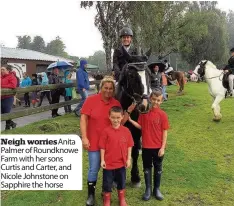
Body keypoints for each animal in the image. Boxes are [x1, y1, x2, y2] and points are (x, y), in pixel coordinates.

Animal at [115, 51, 152, 187]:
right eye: (131, 75)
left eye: (148, 73)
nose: (144, 105)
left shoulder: (137, 131)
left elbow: (135, 152)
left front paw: (136, 177)